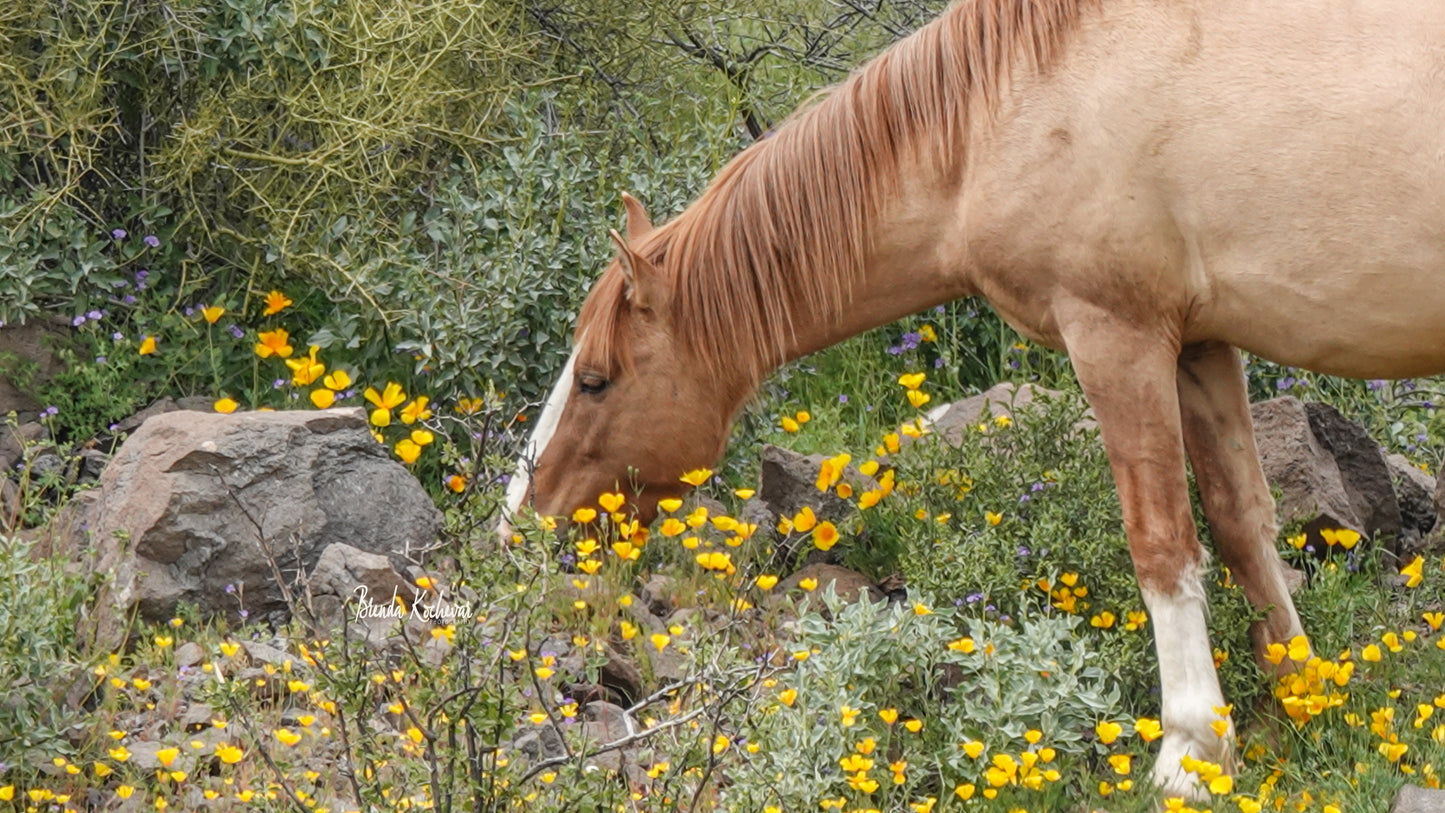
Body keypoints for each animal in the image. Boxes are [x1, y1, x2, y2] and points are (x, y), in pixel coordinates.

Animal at [501, 0, 1445, 799]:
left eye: (595, 379)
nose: (518, 522)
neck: (1008, 102)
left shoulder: (1115, 333)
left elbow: (1161, 543)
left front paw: (1186, 750)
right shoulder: (1199, 345)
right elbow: (1241, 522)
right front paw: (1299, 695)